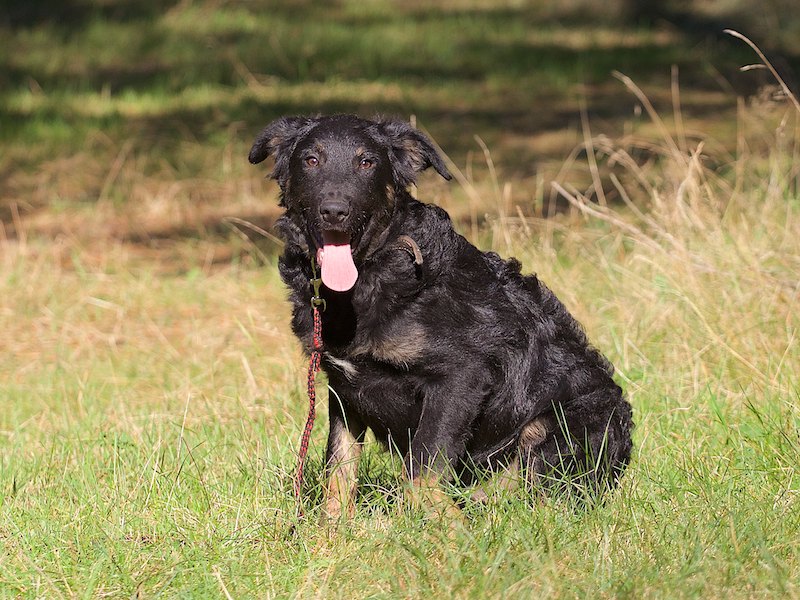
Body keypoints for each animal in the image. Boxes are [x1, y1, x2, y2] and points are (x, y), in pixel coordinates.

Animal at [249, 115, 633, 518]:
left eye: (367, 162)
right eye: (311, 160)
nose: (335, 210)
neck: (375, 270)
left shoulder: (460, 378)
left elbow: (423, 469)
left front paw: (444, 528)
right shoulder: (342, 388)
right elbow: (338, 469)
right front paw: (331, 529)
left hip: (563, 424)